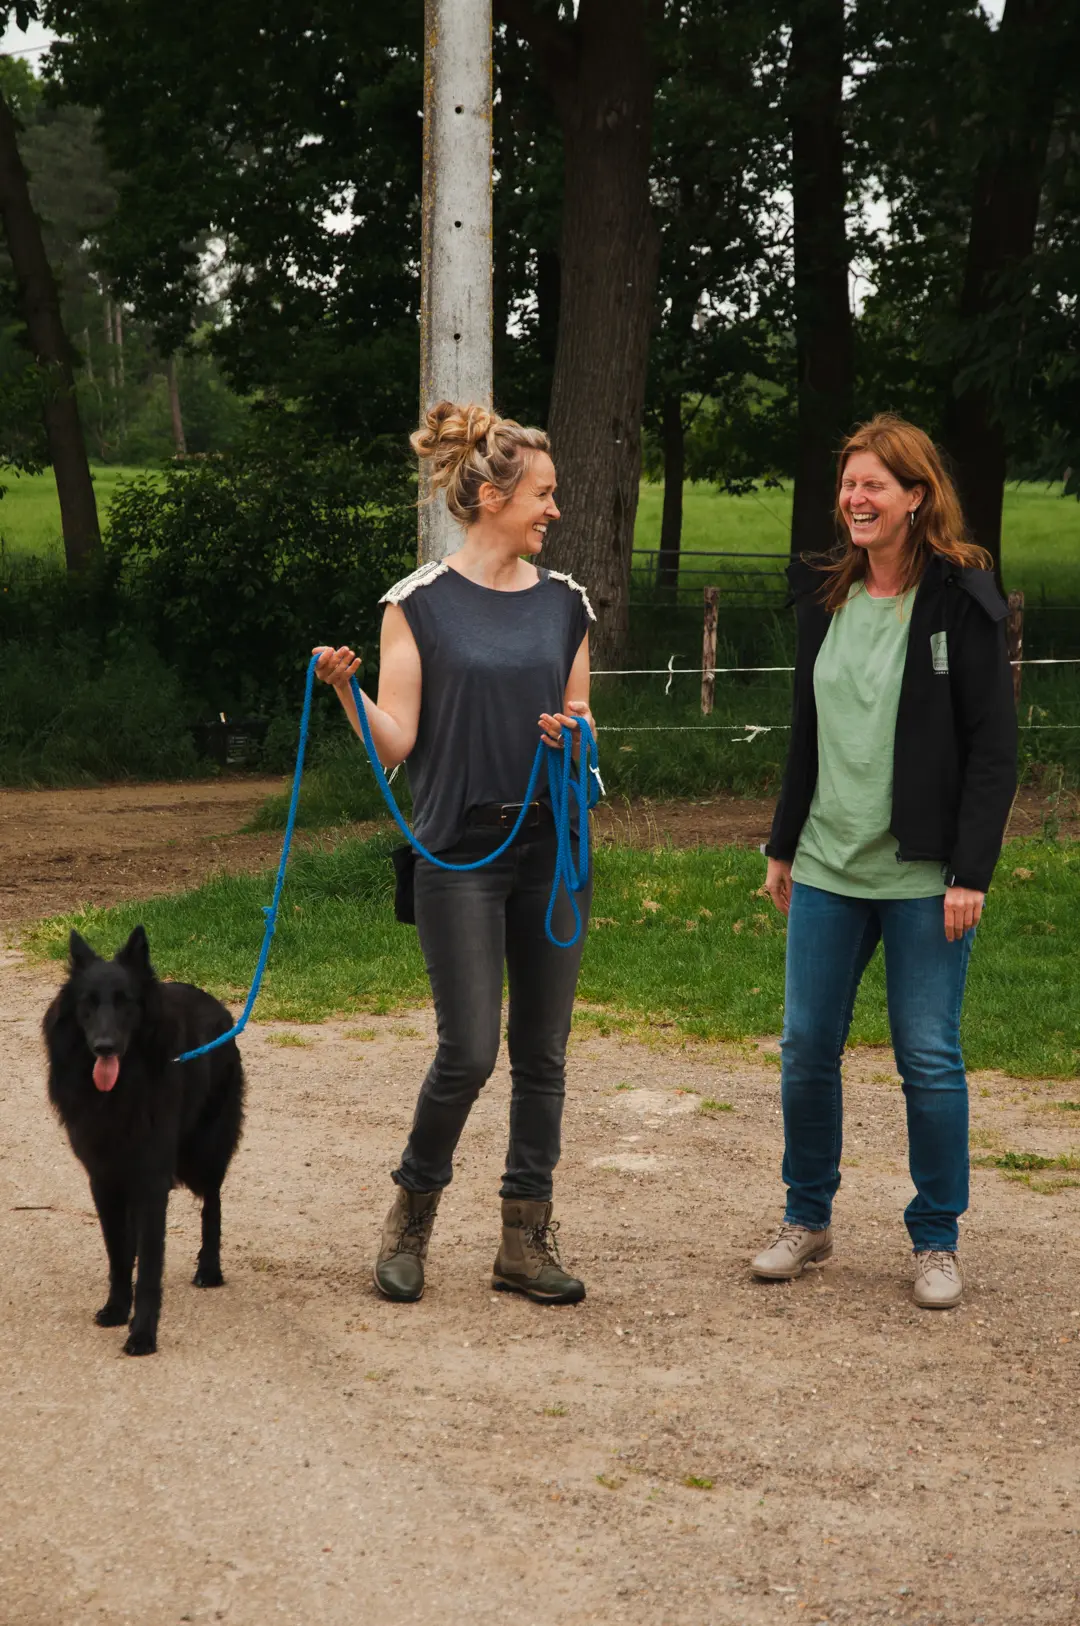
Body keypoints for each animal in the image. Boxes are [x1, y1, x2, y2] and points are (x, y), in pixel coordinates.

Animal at [44, 930, 243, 1359]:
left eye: (125, 1002)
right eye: (89, 1003)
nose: (104, 1047)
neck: (120, 1091)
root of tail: (219, 1007)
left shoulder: (151, 1180)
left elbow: (151, 1267)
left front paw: (143, 1334)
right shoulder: (103, 1178)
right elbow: (118, 1253)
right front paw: (118, 1308)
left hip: (203, 1154)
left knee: (213, 1204)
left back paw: (209, 1269)